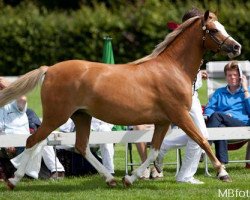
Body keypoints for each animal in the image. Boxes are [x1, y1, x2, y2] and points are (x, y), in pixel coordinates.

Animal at [0, 10, 241, 189]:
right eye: (213, 30)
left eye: (223, 27)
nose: (236, 47)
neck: (172, 68)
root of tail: (49, 69)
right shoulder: (180, 115)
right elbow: (201, 140)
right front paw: (223, 173)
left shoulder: (163, 121)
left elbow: (154, 150)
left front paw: (130, 178)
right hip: (55, 117)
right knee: (33, 141)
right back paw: (13, 181)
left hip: (81, 116)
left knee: (81, 146)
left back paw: (111, 179)